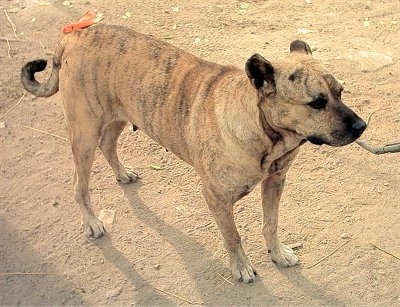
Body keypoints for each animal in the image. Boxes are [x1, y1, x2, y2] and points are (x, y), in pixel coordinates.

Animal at [21, 24, 366, 284]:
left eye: (340, 92)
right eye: (317, 103)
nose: (362, 126)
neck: (263, 133)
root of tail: (74, 35)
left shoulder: (276, 182)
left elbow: (271, 223)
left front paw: (278, 253)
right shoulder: (216, 197)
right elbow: (233, 236)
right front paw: (241, 267)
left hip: (118, 116)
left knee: (109, 144)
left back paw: (122, 173)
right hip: (84, 135)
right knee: (79, 185)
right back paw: (92, 222)